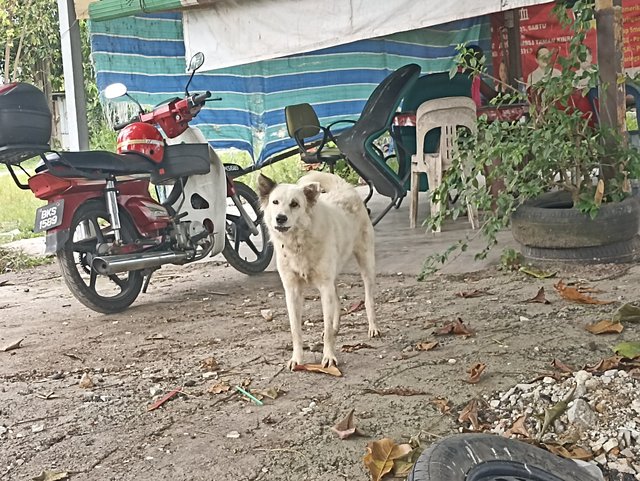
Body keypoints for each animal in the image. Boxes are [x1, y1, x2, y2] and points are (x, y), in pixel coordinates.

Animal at [256, 171, 378, 370]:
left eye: (295, 204)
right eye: (275, 202)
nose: (280, 218)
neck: (298, 243)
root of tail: (344, 187)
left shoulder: (324, 288)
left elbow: (326, 329)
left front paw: (329, 357)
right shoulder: (292, 291)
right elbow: (296, 330)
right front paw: (297, 359)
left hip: (366, 263)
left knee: (368, 299)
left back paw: (373, 327)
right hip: (333, 275)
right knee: (337, 301)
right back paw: (337, 327)